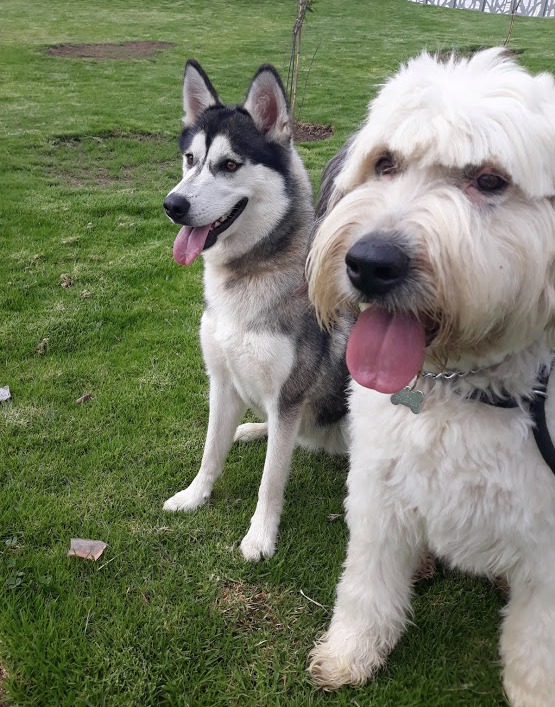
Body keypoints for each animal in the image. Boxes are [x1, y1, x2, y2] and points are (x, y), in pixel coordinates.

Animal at [163, 60, 350, 560]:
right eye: (191, 160)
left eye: (229, 165)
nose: (172, 205)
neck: (249, 275)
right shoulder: (222, 381)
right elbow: (211, 451)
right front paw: (195, 495)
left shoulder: (288, 395)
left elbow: (271, 479)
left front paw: (260, 536)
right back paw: (251, 430)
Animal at [306, 49, 555, 707]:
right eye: (385, 163)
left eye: (489, 180)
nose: (370, 264)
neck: (460, 391)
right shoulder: (377, 487)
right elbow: (367, 582)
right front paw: (351, 652)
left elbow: (539, 644)